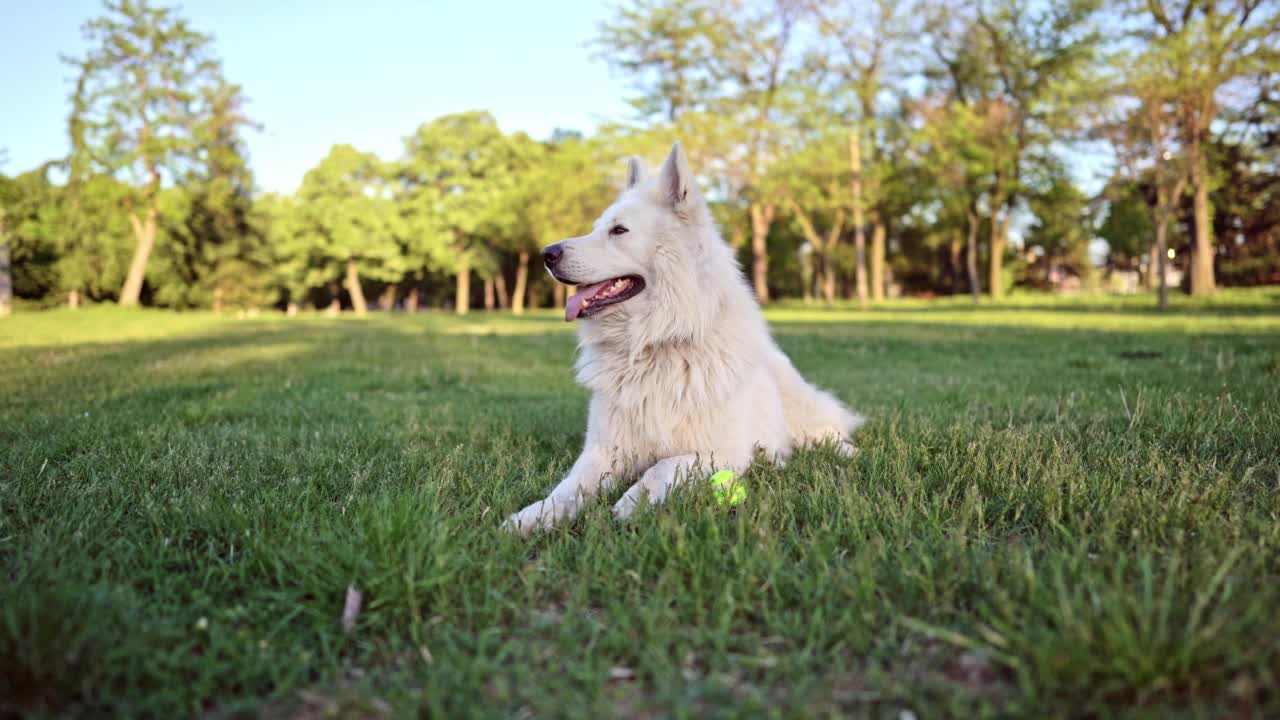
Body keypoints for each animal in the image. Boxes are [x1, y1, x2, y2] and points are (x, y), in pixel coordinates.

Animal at [504, 141, 865, 532]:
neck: (656, 342)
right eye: (596, 228)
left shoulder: (720, 451)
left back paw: (842, 450)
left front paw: (633, 501)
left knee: (829, 428)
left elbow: (662, 466)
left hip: (801, 407)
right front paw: (535, 516)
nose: (546, 254)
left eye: (619, 230)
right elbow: (568, 487)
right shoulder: (602, 451)